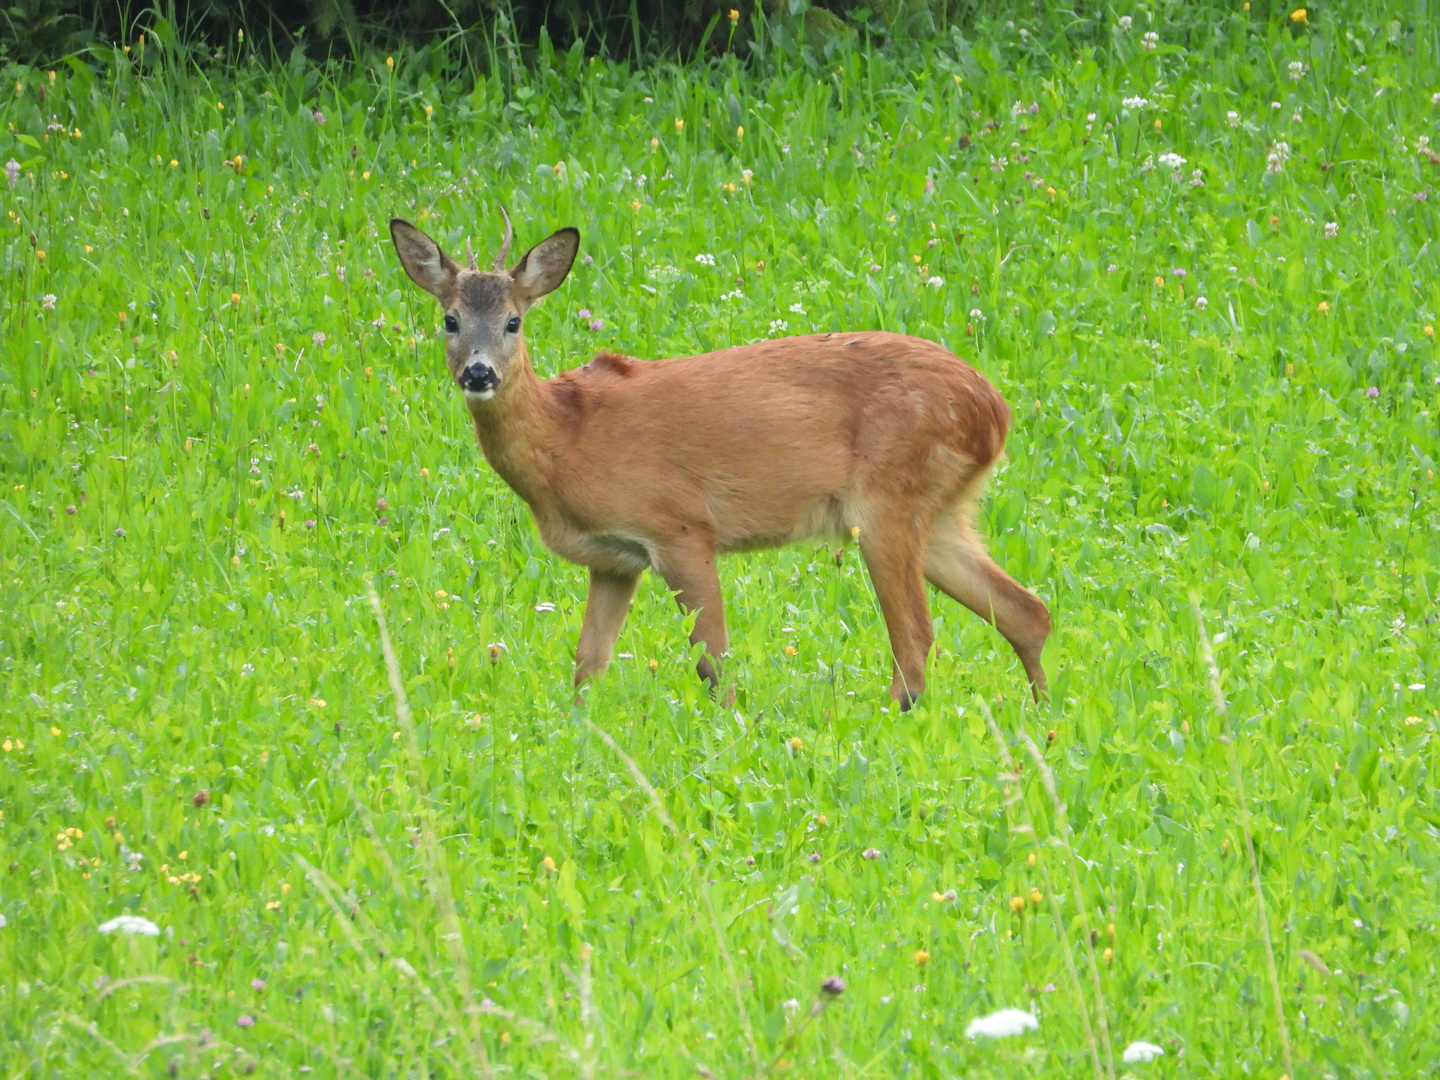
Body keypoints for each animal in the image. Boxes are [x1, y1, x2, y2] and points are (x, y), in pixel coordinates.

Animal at [388, 213, 1054, 711]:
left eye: (513, 321)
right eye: (449, 319)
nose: (479, 373)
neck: (566, 441)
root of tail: (993, 409)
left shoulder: (680, 527)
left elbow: (713, 661)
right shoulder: (614, 561)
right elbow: (587, 665)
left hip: (889, 498)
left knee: (917, 638)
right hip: (939, 511)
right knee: (1027, 610)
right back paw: (1044, 715)